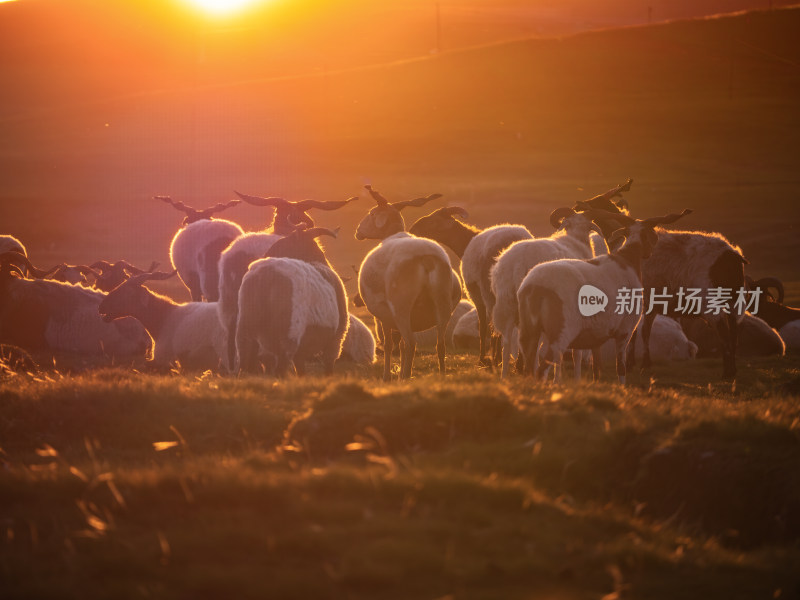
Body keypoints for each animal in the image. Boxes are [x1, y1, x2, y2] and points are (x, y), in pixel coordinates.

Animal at [356, 184, 462, 380]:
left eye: (372, 213)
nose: (358, 231)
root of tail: (426, 259)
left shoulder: (383, 316)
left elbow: (390, 346)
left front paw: (388, 376)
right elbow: (402, 346)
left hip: (401, 306)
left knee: (411, 343)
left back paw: (405, 376)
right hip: (442, 305)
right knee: (440, 345)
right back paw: (441, 375)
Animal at [488, 206, 608, 376]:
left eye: (587, 225)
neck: (577, 240)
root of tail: (519, 262)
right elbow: (575, 352)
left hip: (507, 303)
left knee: (507, 342)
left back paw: (505, 376)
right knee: (534, 345)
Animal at [516, 209, 692, 382]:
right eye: (652, 234)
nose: (649, 253)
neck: (628, 258)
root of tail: (536, 287)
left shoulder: (597, 332)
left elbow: (596, 363)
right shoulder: (625, 330)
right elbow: (620, 368)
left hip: (530, 332)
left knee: (530, 367)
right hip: (561, 331)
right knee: (542, 368)